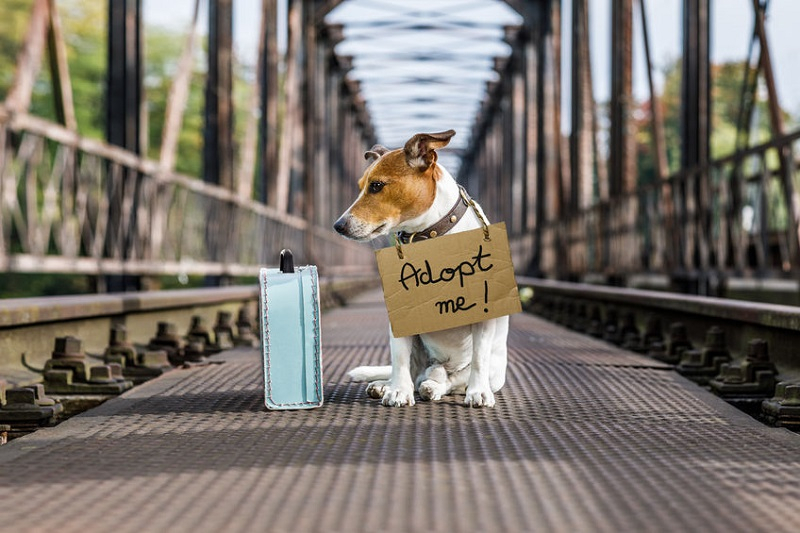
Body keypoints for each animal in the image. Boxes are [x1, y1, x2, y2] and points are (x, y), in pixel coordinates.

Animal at [332, 130, 510, 408]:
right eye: (362, 186)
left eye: (376, 186)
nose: (338, 226)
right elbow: (400, 358)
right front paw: (397, 391)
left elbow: (479, 359)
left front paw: (478, 392)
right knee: (413, 371)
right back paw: (386, 385)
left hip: (489, 370)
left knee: (449, 380)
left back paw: (433, 387)